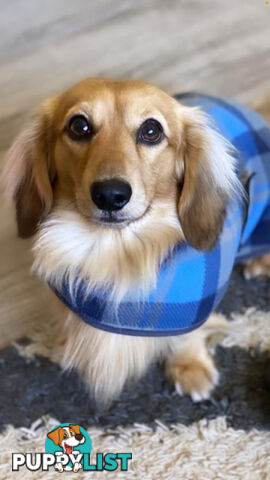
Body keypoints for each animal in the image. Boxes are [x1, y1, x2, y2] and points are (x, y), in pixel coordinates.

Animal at [2, 78, 270, 404]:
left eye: (151, 130)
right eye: (79, 125)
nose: (110, 195)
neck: (114, 252)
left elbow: (187, 335)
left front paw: (190, 367)